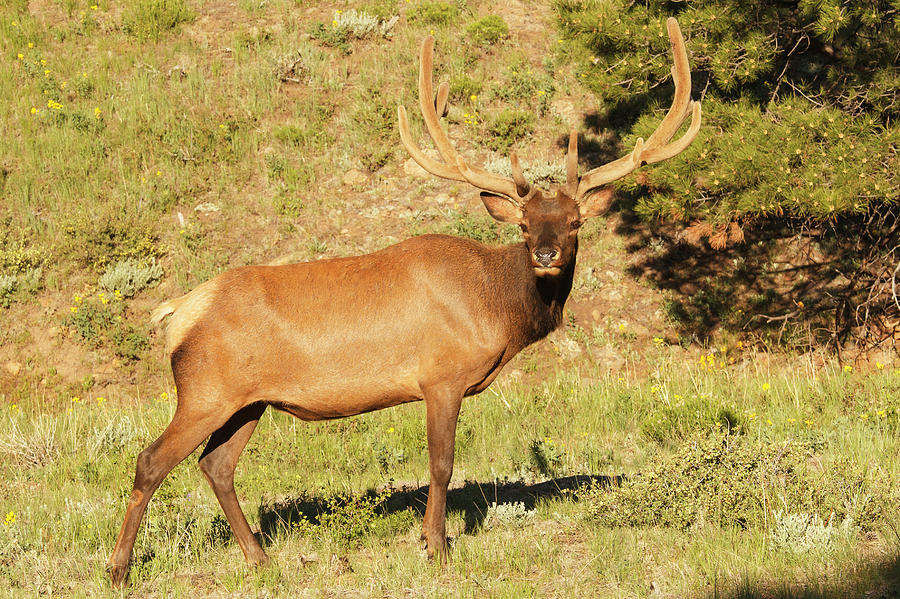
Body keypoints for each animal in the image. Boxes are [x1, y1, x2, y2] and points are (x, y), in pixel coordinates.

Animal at [107, 17, 704, 584]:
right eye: (525, 223)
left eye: (576, 221)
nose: (547, 252)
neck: (495, 308)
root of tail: (176, 314)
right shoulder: (441, 376)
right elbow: (441, 464)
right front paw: (436, 547)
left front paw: (431, 542)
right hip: (204, 391)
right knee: (150, 460)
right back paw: (119, 568)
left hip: (247, 402)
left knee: (217, 465)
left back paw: (259, 559)